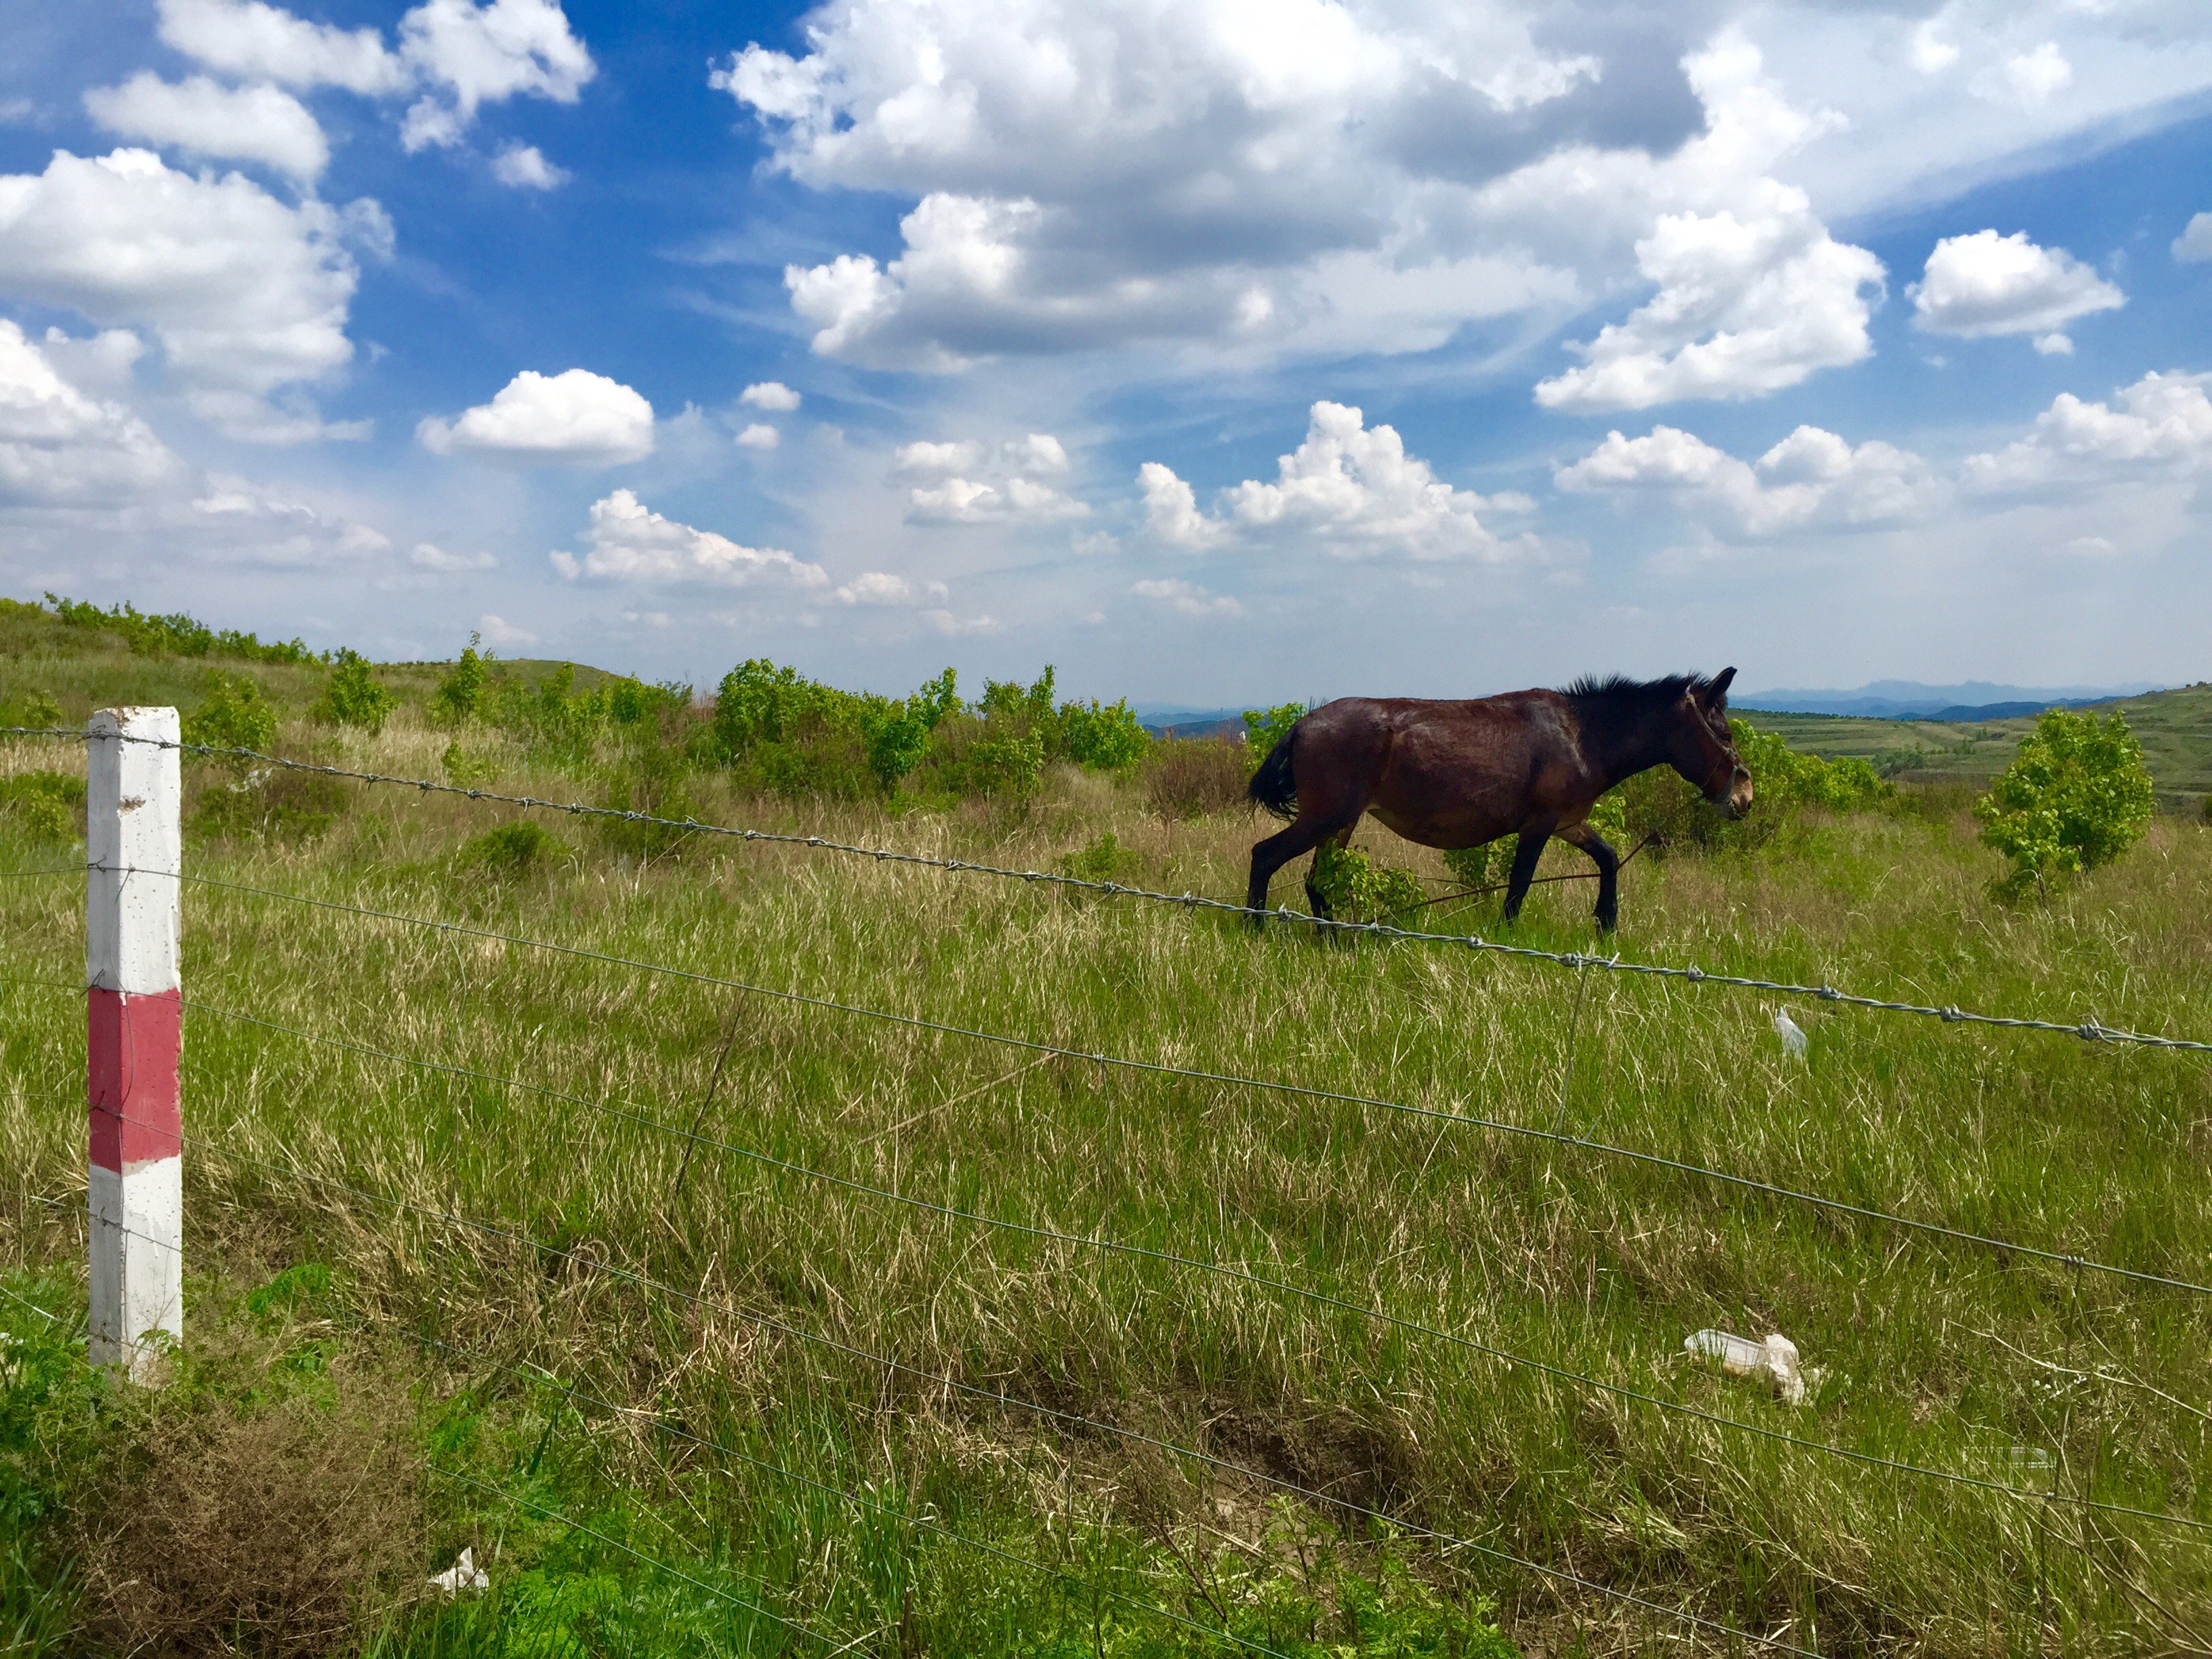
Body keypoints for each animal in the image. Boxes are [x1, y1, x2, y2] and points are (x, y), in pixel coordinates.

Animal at [1247, 676, 1743, 937]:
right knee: (1265, 855)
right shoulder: (1539, 824)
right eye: (1726, 733)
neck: (1581, 736)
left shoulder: (1569, 822)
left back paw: (1330, 935)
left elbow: (1608, 857)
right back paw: (1254, 928)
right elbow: (1519, 885)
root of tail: (1303, 725)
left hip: (1342, 821)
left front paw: (1607, 922)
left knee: (1317, 879)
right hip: (1325, 817)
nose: (1746, 798)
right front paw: (1505, 938)